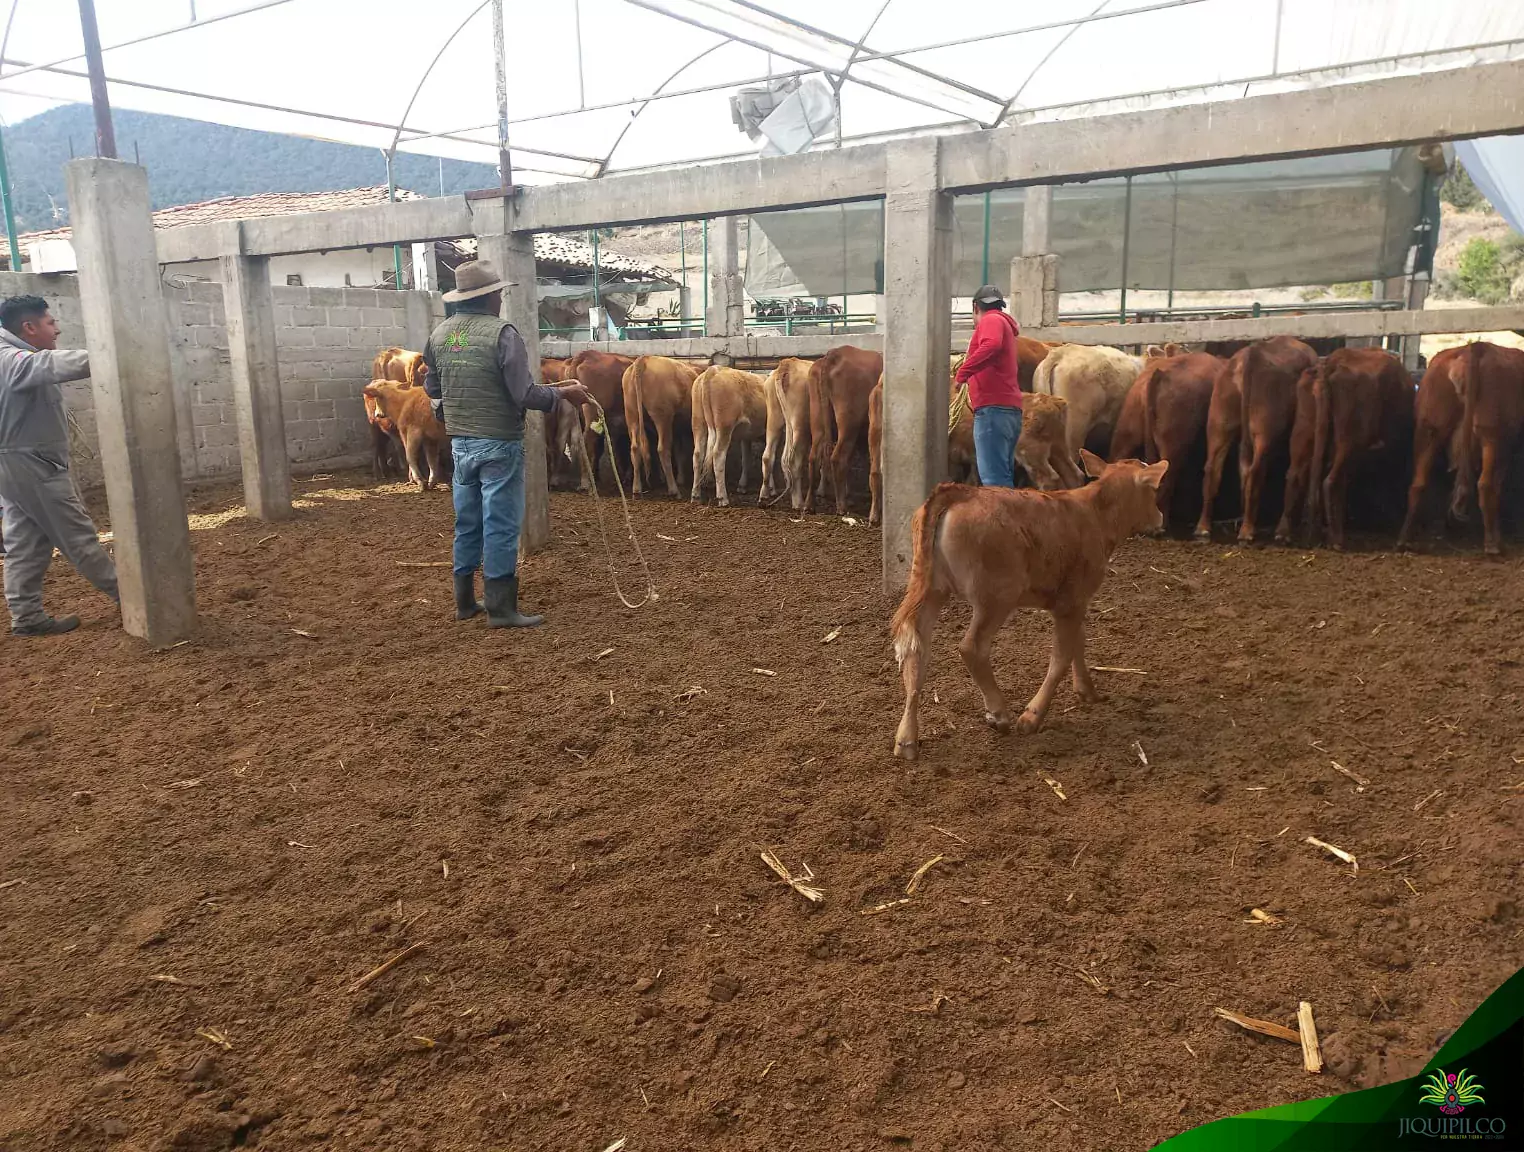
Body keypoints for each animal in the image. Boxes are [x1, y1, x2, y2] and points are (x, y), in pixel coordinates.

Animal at [621, 350, 697, 493]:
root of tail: (643, 359)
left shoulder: (677, 428)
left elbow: (679, 452)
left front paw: (680, 478)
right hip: (663, 417)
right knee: (662, 449)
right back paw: (673, 489)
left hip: (632, 414)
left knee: (635, 448)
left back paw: (637, 487)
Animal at [691, 362, 768, 502]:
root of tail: (713, 370)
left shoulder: (746, 436)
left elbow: (746, 458)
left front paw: (742, 486)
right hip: (724, 426)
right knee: (718, 455)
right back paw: (723, 498)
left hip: (698, 423)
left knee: (698, 455)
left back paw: (695, 495)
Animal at [804, 344, 890, 515]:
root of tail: (833, 354)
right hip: (849, 425)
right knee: (837, 458)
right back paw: (841, 506)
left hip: (818, 421)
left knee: (814, 457)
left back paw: (810, 505)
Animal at [890, 454, 1170, 761]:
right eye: (1154, 489)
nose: (1161, 518)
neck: (1094, 513)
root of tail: (962, 491)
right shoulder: (1071, 601)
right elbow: (1061, 657)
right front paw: (1032, 717)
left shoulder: (1076, 602)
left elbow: (1078, 644)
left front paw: (1087, 691)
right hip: (995, 599)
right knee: (971, 648)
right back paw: (999, 713)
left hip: (932, 590)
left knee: (916, 650)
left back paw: (906, 739)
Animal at [1188, 336, 1322, 545]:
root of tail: (1249, 357)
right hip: (1264, 431)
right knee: (1259, 471)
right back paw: (1251, 531)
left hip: (1220, 423)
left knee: (1213, 470)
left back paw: (1204, 528)